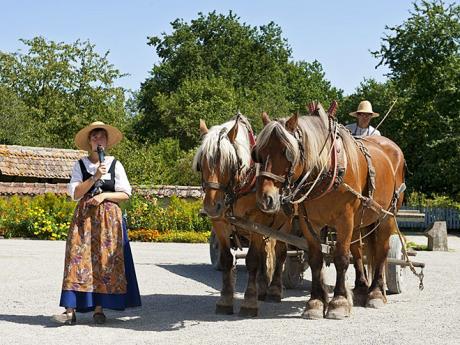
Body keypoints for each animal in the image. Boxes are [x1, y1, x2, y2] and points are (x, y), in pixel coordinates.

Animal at [192, 114, 290, 316]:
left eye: (229, 162)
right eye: (201, 163)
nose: (211, 206)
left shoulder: (256, 222)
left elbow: (252, 260)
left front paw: (249, 302)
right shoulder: (220, 222)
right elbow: (227, 259)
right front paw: (225, 300)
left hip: (285, 225)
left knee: (281, 253)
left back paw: (274, 290)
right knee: (266, 253)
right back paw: (263, 288)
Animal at [252, 103, 406, 320]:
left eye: (286, 151)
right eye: (258, 153)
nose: (266, 198)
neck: (327, 168)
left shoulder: (345, 219)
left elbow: (341, 258)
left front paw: (338, 302)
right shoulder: (309, 221)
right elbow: (316, 259)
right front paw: (315, 302)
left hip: (386, 216)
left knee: (381, 251)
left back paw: (376, 292)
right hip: (361, 221)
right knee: (358, 251)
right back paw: (361, 289)